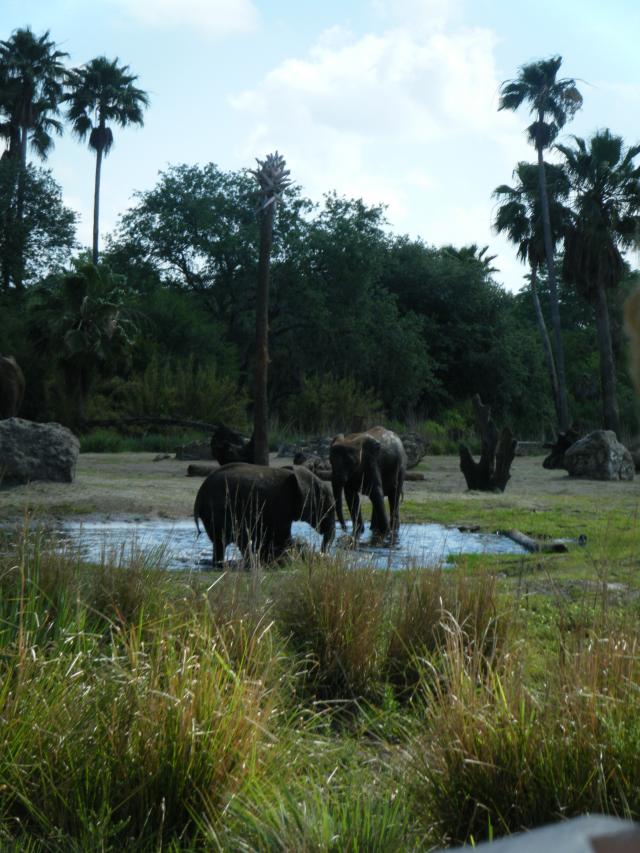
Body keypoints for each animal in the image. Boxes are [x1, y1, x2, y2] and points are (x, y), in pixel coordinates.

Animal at [194, 460, 336, 564]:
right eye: (327, 506)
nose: (323, 554)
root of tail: (199, 494)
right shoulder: (282, 503)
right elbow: (281, 535)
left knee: (220, 542)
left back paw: (220, 563)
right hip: (221, 509)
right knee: (238, 538)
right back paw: (250, 563)